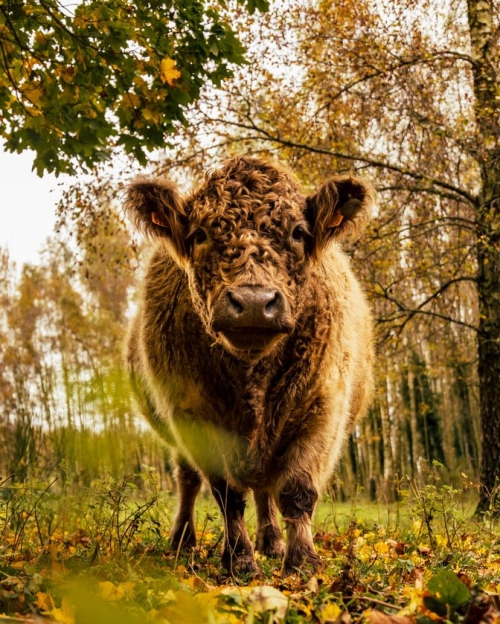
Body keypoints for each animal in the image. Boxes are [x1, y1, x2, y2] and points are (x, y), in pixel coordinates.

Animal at [125, 156, 376, 576]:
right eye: (199, 234)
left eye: (298, 232)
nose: (255, 302)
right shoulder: (193, 417)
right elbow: (226, 493)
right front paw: (239, 560)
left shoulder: (323, 407)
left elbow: (297, 490)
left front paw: (301, 562)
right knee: (189, 480)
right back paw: (183, 541)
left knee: (264, 489)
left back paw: (272, 542)